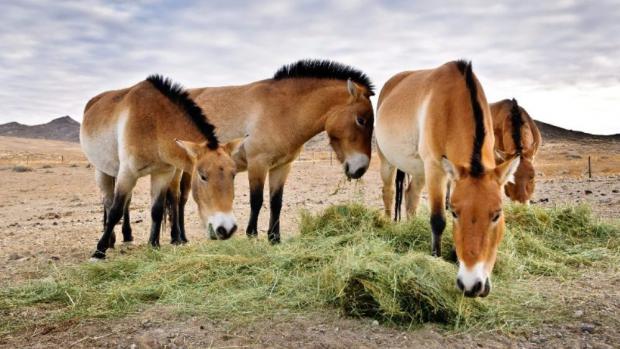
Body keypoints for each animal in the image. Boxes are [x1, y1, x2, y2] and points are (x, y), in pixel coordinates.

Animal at [80, 75, 240, 260]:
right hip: (102, 170)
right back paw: (110, 240)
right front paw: (99, 251)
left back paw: (126, 235)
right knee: (108, 202)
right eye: (203, 176)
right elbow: (115, 211)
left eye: (234, 174)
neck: (156, 124)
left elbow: (156, 210)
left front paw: (154, 245)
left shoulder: (163, 173)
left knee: (126, 202)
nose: (227, 229)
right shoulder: (127, 172)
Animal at [376, 60, 520, 296]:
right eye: (454, 213)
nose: (472, 286)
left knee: (411, 195)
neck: (453, 105)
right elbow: (437, 220)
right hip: (387, 161)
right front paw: (436, 258)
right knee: (388, 193)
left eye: (497, 215)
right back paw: (389, 224)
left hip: (419, 171)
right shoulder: (436, 168)